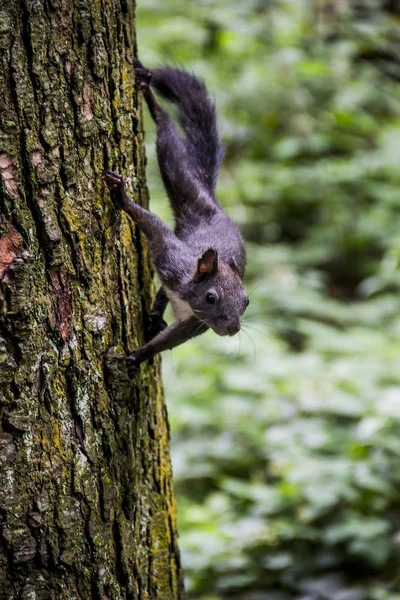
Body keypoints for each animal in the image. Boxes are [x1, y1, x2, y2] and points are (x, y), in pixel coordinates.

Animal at [104, 58, 248, 372]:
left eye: (246, 301)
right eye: (211, 297)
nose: (233, 329)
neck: (187, 294)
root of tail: (212, 206)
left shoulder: (195, 324)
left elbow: (172, 340)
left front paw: (139, 355)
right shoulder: (172, 260)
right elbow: (155, 228)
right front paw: (121, 197)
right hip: (181, 183)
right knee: (168, 140)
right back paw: (149, 96)